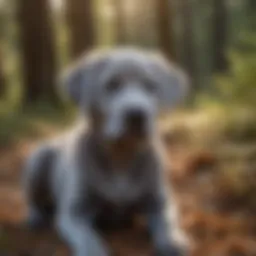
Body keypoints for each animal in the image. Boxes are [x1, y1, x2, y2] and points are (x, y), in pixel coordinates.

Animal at [24, 48, 188, 256]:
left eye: (151, 86)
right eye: (112, 84)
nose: (137, 114)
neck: (121, 155)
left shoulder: (159, 199)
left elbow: (166, 220)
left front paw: (174, 241)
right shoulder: (75, 210)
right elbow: (87, 236)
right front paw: (93, 250)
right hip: (38, 161)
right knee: (33, 199)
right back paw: (35, 217)